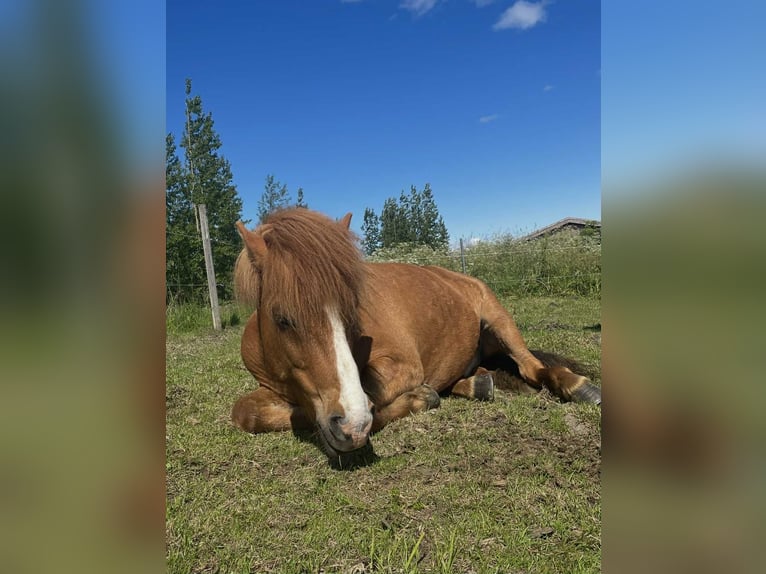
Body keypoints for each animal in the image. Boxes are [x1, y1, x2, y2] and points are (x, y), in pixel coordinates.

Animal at [231, 208, 601, 459]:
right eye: (282, 319)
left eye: (351, 311)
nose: (351, 425)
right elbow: (245, 413)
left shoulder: (402, 367)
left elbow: (373, 394)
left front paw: (417, 399)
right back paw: (478, 384)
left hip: (499, 318)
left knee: (531, 366)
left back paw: (577, 386)